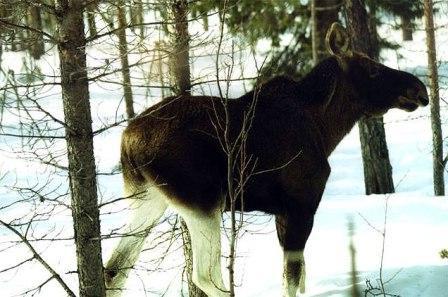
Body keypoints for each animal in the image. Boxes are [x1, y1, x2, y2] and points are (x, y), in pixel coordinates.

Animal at [104, 23, 428, 296]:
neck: (325, 128)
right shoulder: (300, 204)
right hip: (202, 203)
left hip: (147, 200)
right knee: (206, 276)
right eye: (373, 69)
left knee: (114, 271)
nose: (419, 89)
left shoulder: (281, 213)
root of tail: (127, 140)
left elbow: (298, 276)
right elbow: (292, 279)